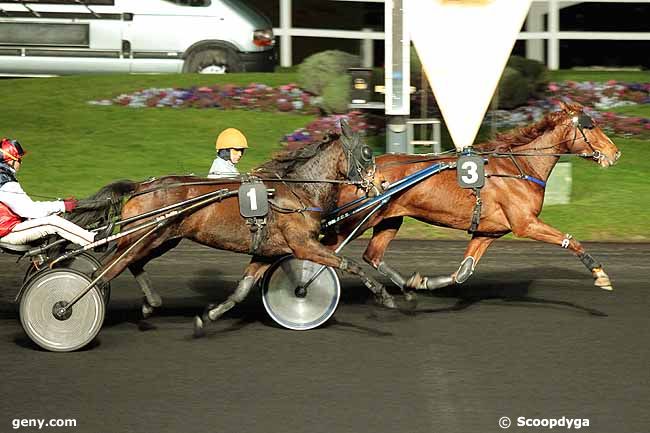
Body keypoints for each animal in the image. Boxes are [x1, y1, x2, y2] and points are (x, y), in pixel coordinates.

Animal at [71, 123, 394, 332]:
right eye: (367, 152)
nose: (382, 184)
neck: (298, 191)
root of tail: (141, 186)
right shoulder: (303, 245)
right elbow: (349, 263)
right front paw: (384, 295)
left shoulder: (267, 252)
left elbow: (242, 290)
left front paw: (209, 316)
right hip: (143, 236)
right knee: (104, 270)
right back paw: (70, 306)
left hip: (161, 239)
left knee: (130, 264)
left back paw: (150, 303)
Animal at [322, 103, 620, 296]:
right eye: (590, 125)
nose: (615, 152)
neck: (521, 167)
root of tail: (358, 174)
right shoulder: (526, 224)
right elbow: (570, 240)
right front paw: (599, 273)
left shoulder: (488, 232)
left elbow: (463, 272)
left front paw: (423, 282)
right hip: (356, 221)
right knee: (325, 250)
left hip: (390, 219)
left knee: (371, 255)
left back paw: (406, 284)